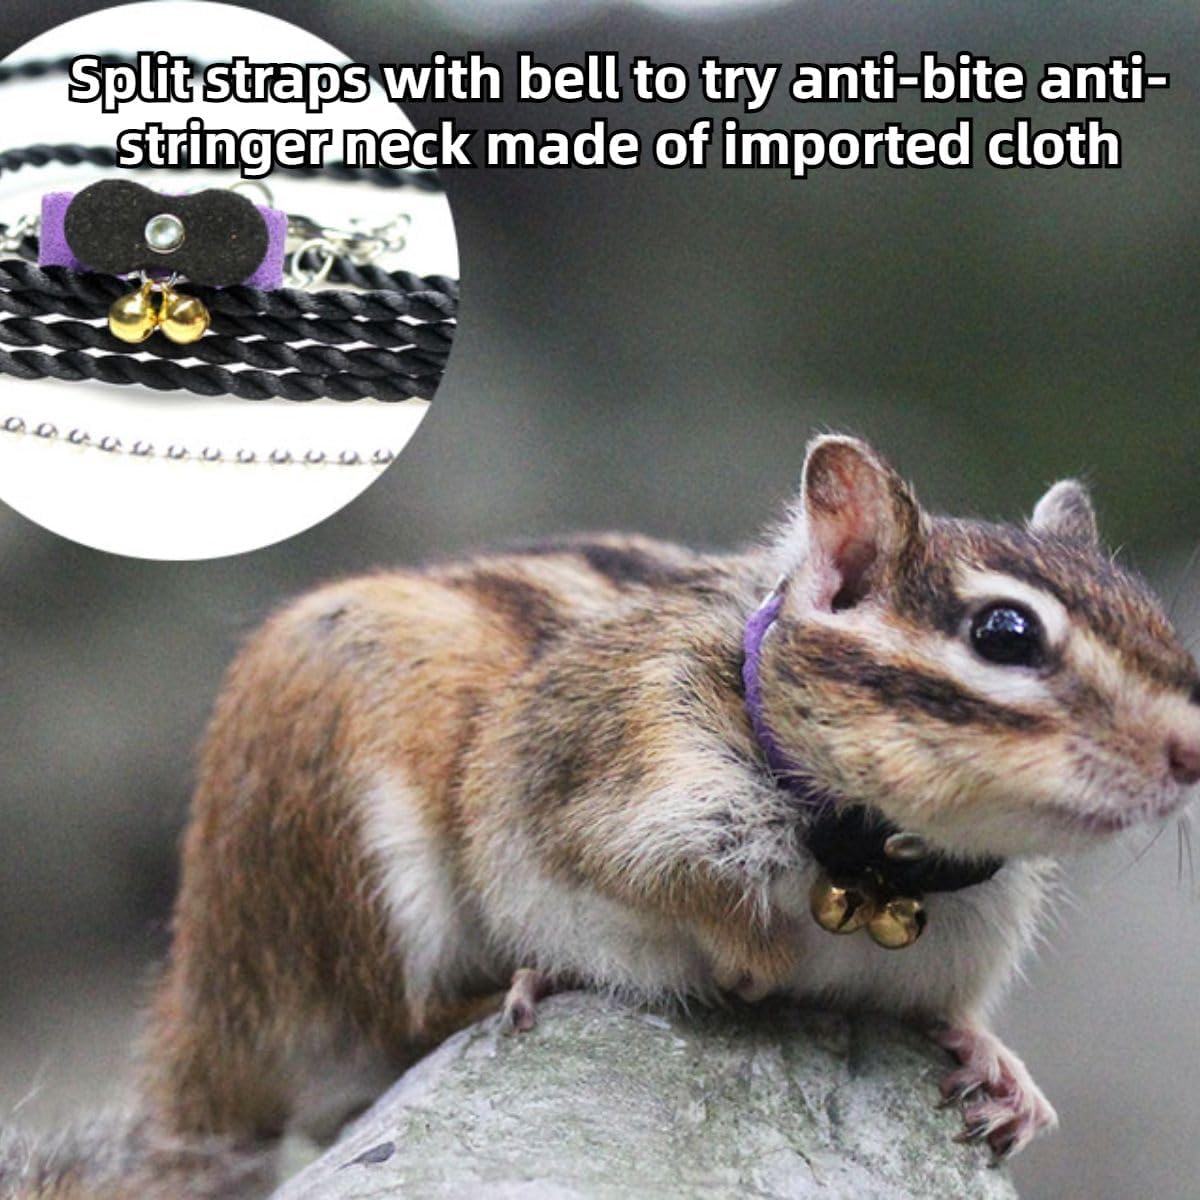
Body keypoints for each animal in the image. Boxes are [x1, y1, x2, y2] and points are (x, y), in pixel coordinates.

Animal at [7, 434, 1199, 1197]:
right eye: (1005, 633)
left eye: (1159, 621)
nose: (1193, 751)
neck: (875, 865)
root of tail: (200, 1004)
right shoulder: (596, 787)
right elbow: (652, 879)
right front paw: (751, 952)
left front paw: (1000, 1069)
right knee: (380, 1040)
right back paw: (519, 985)